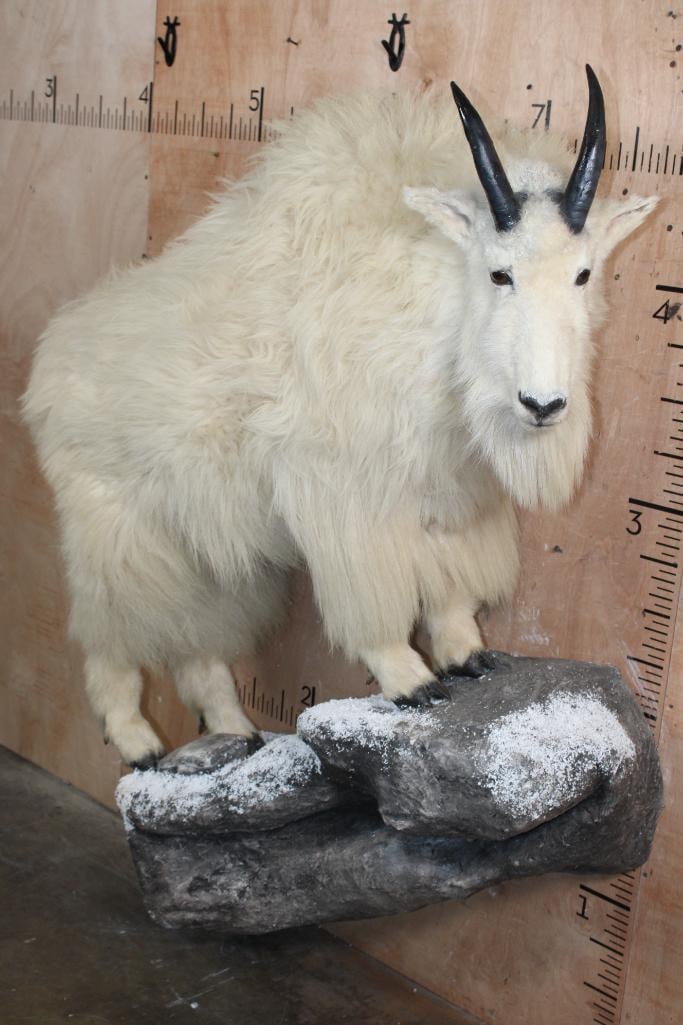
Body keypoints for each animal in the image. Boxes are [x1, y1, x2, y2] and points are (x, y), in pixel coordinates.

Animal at [23, 67, 657, 768]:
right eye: (500, 273)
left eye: (583, 273)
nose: (542, 406)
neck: (433, 309)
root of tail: (49, 363)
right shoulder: (347, 498)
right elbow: (374, 602)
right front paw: (411, 681)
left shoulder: (448, 492)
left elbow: (450, 592)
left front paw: (467, 656)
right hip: (113, 531)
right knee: (111, 638)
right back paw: (136, 740)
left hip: (202, 546)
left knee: (196, 643)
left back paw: (236, 732)